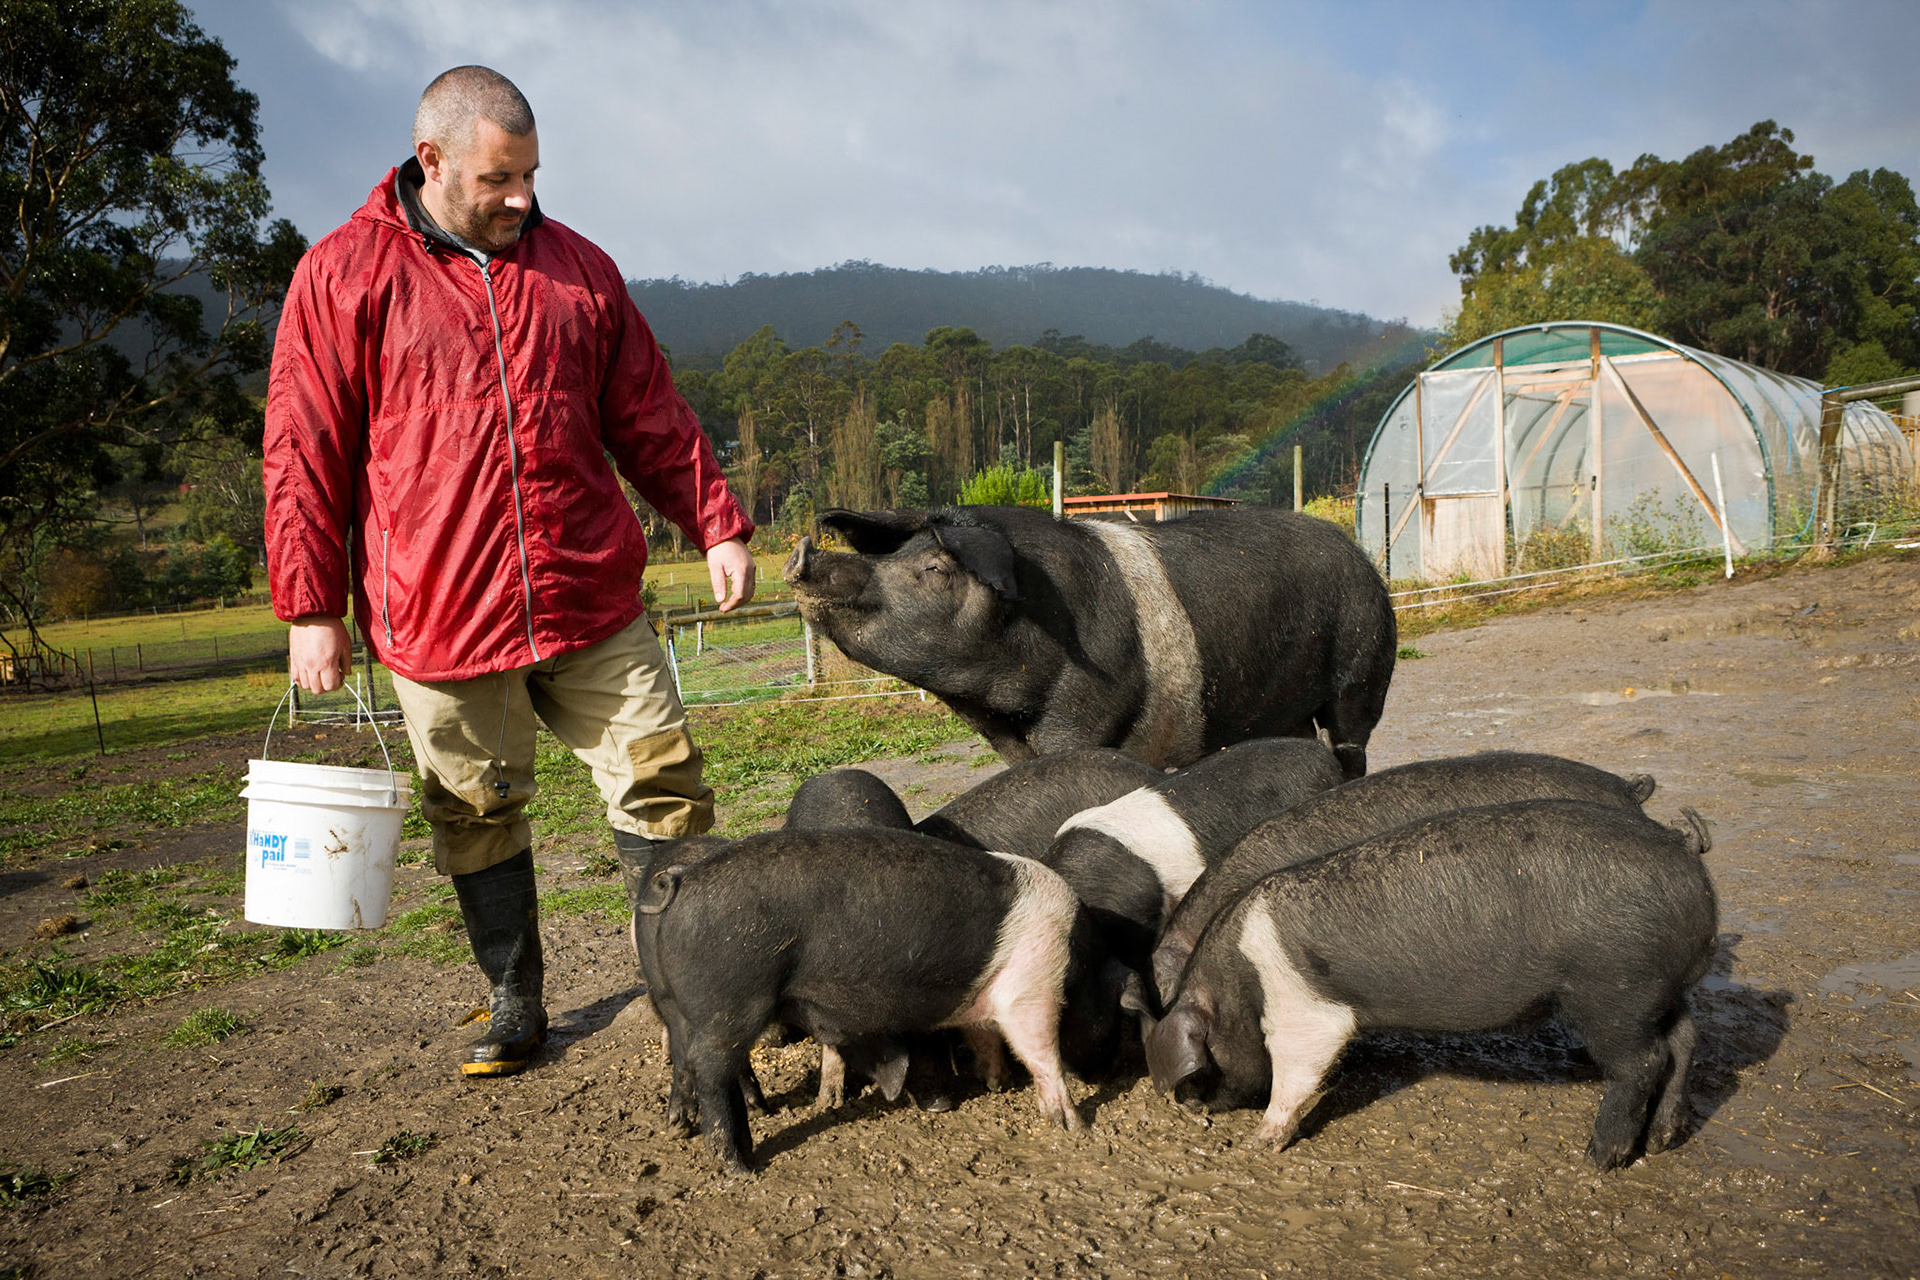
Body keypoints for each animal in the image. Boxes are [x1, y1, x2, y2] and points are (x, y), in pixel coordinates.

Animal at [634, 828, 1117, 1173]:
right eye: (1109, 1011)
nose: (1104, 1071)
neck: (1077, 960)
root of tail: (680, 880)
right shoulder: (1031, 988)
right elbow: (1041, 1052)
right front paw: (1074, 1127)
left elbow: (985, 1036)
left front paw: (993, 1083)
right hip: (728, 1005)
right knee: (712, 1074)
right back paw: (740, 1166)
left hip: (677, 1005)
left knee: (684, 1060)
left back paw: (682, 1128)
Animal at [783, 505, 1396, 778]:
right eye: (894, 555)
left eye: (934, 567)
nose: (802, 552)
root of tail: (1360, 556)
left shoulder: (1087, 712)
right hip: (1278, 705)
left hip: (1361, 671)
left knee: (1350, 741)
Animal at [1141, 801, 1716, 1169]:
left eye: (1205, 1059)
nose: (1191, 1109)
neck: (1234, 981)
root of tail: (1681, 848)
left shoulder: (1305, 1012)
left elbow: (1295, 1071)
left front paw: (1257, 1146)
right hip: (1656, 990)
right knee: (1685, 1040)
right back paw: (1662, 1141)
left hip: (1614, 989)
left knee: (1642, 1062)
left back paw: (1598, 1159)